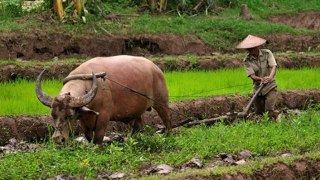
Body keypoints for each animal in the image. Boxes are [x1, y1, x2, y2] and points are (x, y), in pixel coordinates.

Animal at [35, 55, 172, 144]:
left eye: (70, 115)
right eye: (53, 115)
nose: (58, 139)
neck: (89, 85)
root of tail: (156, 69)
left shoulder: (104, 116)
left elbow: (98, 137)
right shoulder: (84, 118)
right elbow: (88, 136)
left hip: (162, 102)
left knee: (167, 119)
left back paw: (169, 135)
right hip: (135, 110)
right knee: (138, 125)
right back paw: (132, 140)